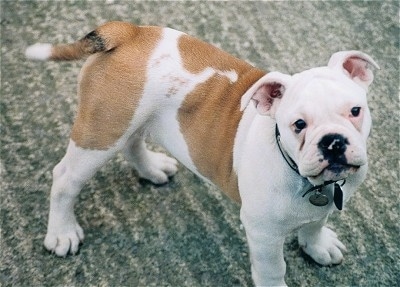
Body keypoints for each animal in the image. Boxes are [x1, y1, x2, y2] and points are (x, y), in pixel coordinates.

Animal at [25, 21, 378, 286]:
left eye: (355, 111)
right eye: (299, 125)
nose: (333, 141)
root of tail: (127, 31)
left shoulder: (326, 202)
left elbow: (315, 224)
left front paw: (317, 246)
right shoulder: (263, 233)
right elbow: (273, 269)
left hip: (131, 119)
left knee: (133, 143)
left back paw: (151, 168)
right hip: (101, 133)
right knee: (66, 179)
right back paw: (62, 232)